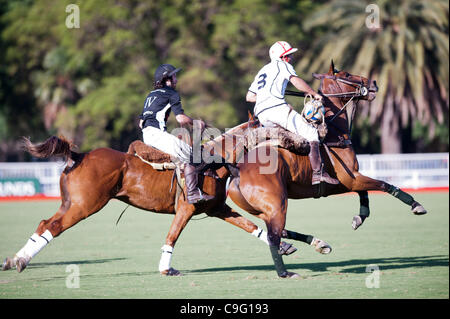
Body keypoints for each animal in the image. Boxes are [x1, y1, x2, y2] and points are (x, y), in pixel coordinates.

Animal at [230, 61, 428, 278]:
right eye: (347, 74)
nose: (373, 83)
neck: (334, 133)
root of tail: (237, 170)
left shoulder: (346, 181)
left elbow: (365, 193)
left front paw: (358, 219)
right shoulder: (350, 178)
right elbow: (383, 184)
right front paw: (416, 205)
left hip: (261, 210)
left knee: (279, 231)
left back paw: (317, 244)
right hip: (277, 205)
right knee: (274, 235)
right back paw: (285, 272)